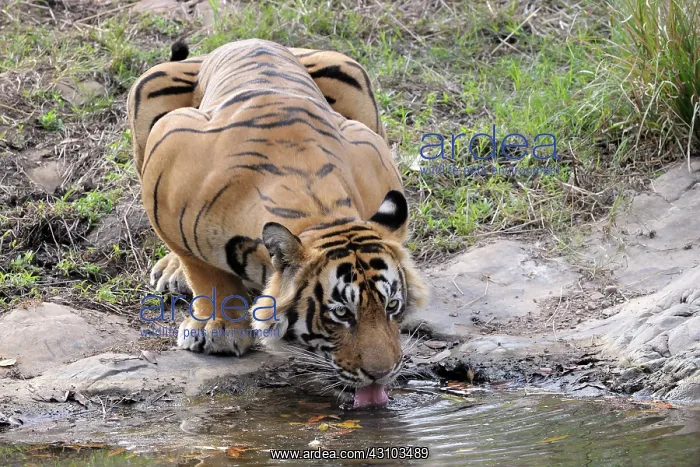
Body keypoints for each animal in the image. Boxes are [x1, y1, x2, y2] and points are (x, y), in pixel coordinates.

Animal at [127, 39, 428, 407]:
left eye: (392, 306)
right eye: (341, 313)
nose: (382, 374)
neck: (320, 212)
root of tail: (246, 40)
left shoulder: (369, 146)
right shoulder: (168, 148)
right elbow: (203, 271)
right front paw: (218, 330)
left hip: (350, 74)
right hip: (150, 85)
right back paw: (172, 272)